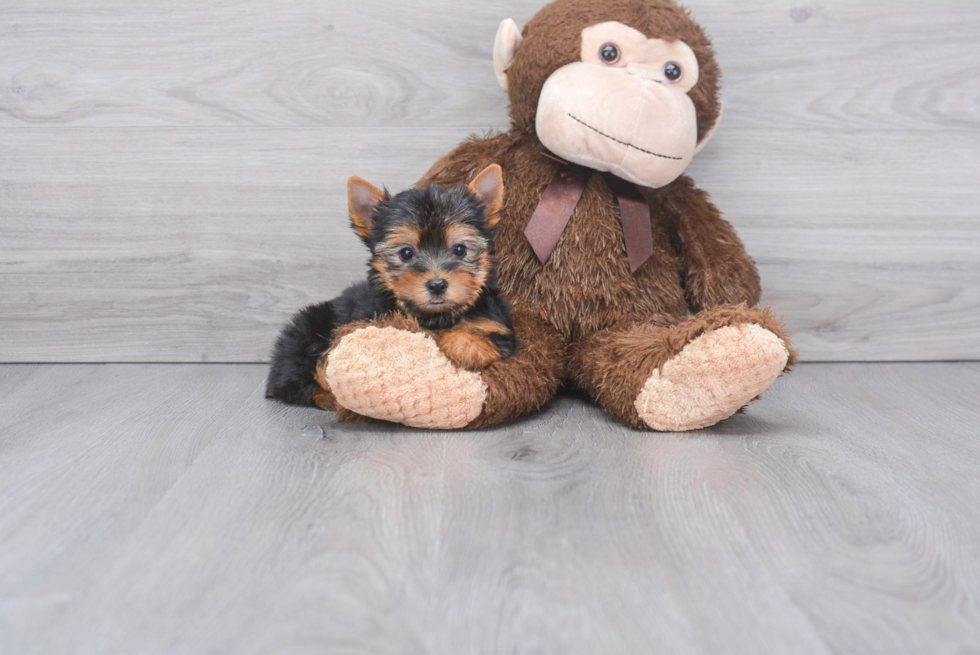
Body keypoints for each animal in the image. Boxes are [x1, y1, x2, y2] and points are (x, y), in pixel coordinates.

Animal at [264, 164, 516, 408]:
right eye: (406, 253)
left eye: (460, 250)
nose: (437, 284)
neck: (435, 318)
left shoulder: (499, 326)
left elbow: (489, 335)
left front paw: (464, 345)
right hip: (305, 334)